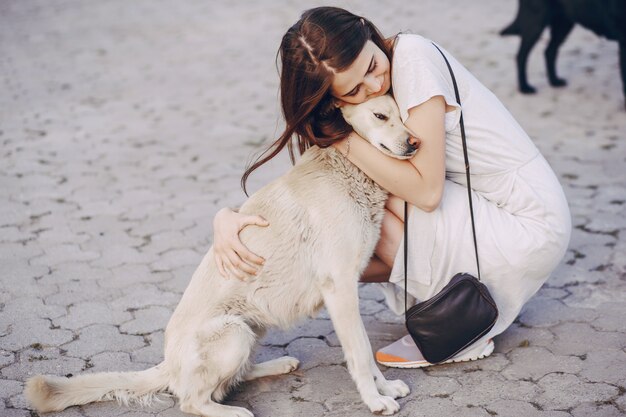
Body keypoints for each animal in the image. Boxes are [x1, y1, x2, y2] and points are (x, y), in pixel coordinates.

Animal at [24, 95, 416, 416]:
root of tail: (168, 363)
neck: (346, 168)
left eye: (405, 114)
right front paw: (376, 401)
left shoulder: (347, 289)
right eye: (381, 115)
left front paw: (385, 388)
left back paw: (277, 365)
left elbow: (368, 356)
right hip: (233, 333)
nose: (415, 142)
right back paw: (234, 412)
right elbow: (361, 354)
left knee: (235, 377)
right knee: (192, 400)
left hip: (251, 327)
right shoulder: (340, 288)